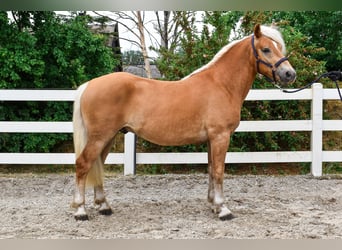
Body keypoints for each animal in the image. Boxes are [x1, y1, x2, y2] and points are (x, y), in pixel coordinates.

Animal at [71, 24, 296, 221]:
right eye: (266, 49)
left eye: (278, 47)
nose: (289, 74)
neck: (222, 85)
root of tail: (89, 85)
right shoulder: (220, 136)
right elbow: (219, 171)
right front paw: (223, 209)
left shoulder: (211, 139)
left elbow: (211, 169)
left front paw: (213, 205)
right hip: (100, 137)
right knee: (83, 164)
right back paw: (81, 211)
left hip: (108, 138)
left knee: (97, 165)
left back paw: (104, 206)